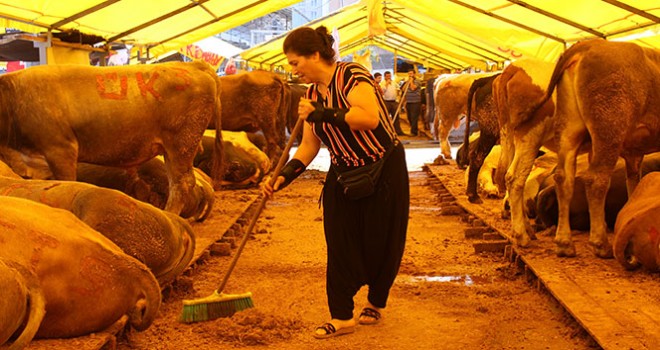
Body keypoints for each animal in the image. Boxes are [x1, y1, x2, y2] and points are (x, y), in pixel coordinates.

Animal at [0, 61, 223, 215]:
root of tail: (191, 64)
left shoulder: (61, 149)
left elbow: (67, 182)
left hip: (181, 144)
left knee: (181, 183)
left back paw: (170, 216)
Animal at [532, 39, 660, 258]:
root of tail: (590, 44)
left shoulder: (634, 154)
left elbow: (634, 185)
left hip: (569, 130)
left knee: (563, 178)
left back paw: (565, 243)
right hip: (609, 130)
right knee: (596, 180)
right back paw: (600, 243)